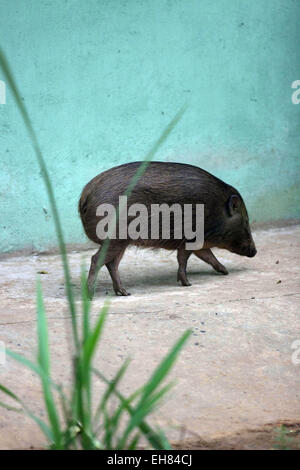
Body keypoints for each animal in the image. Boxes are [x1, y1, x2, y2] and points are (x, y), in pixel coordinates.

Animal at [78, 161, 256, 294]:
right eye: (246, 222)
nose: (254, 252)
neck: (215, 210)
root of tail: (84, 198)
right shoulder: (190, 239)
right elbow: (184, 259)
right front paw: (187, 284)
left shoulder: (198, 243)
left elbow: (208, 256)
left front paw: (225, 271)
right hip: (115, 239)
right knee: (96, 259)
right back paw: (91, 294)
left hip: (121, 242)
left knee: (111, 264)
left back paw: (124, 292)